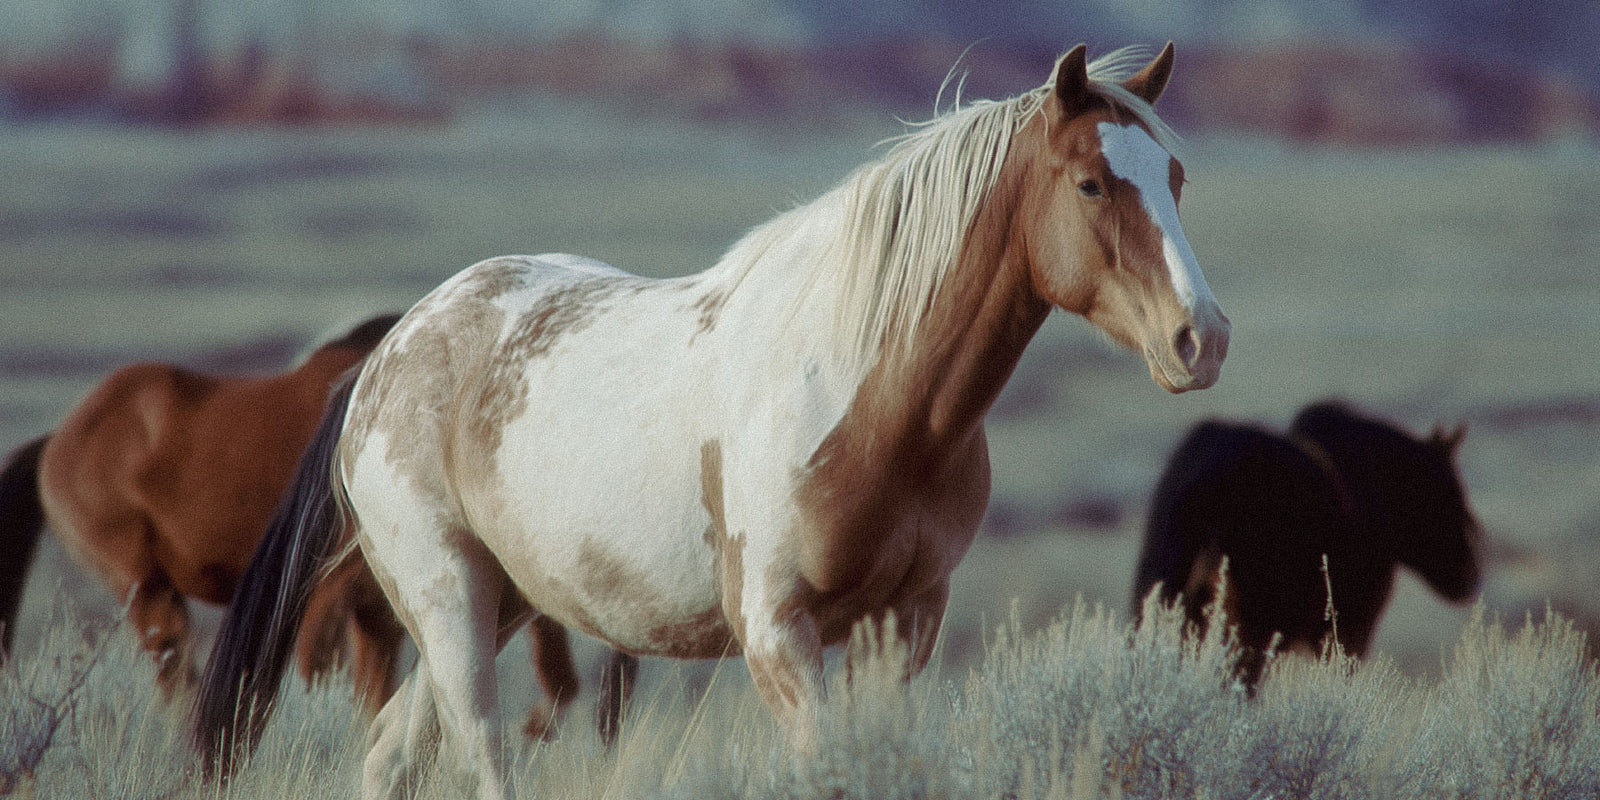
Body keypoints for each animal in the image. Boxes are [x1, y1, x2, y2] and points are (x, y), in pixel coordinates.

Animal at [194, 43, 1229, 798]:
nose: (1202, 338)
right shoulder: (776, 630)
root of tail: (387, 355)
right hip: (446, 596)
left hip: (496, 600)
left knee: (390, 751)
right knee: (477, 751)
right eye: (1091, 183)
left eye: (1179, 177)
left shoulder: (909, 620)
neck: (867, 396)